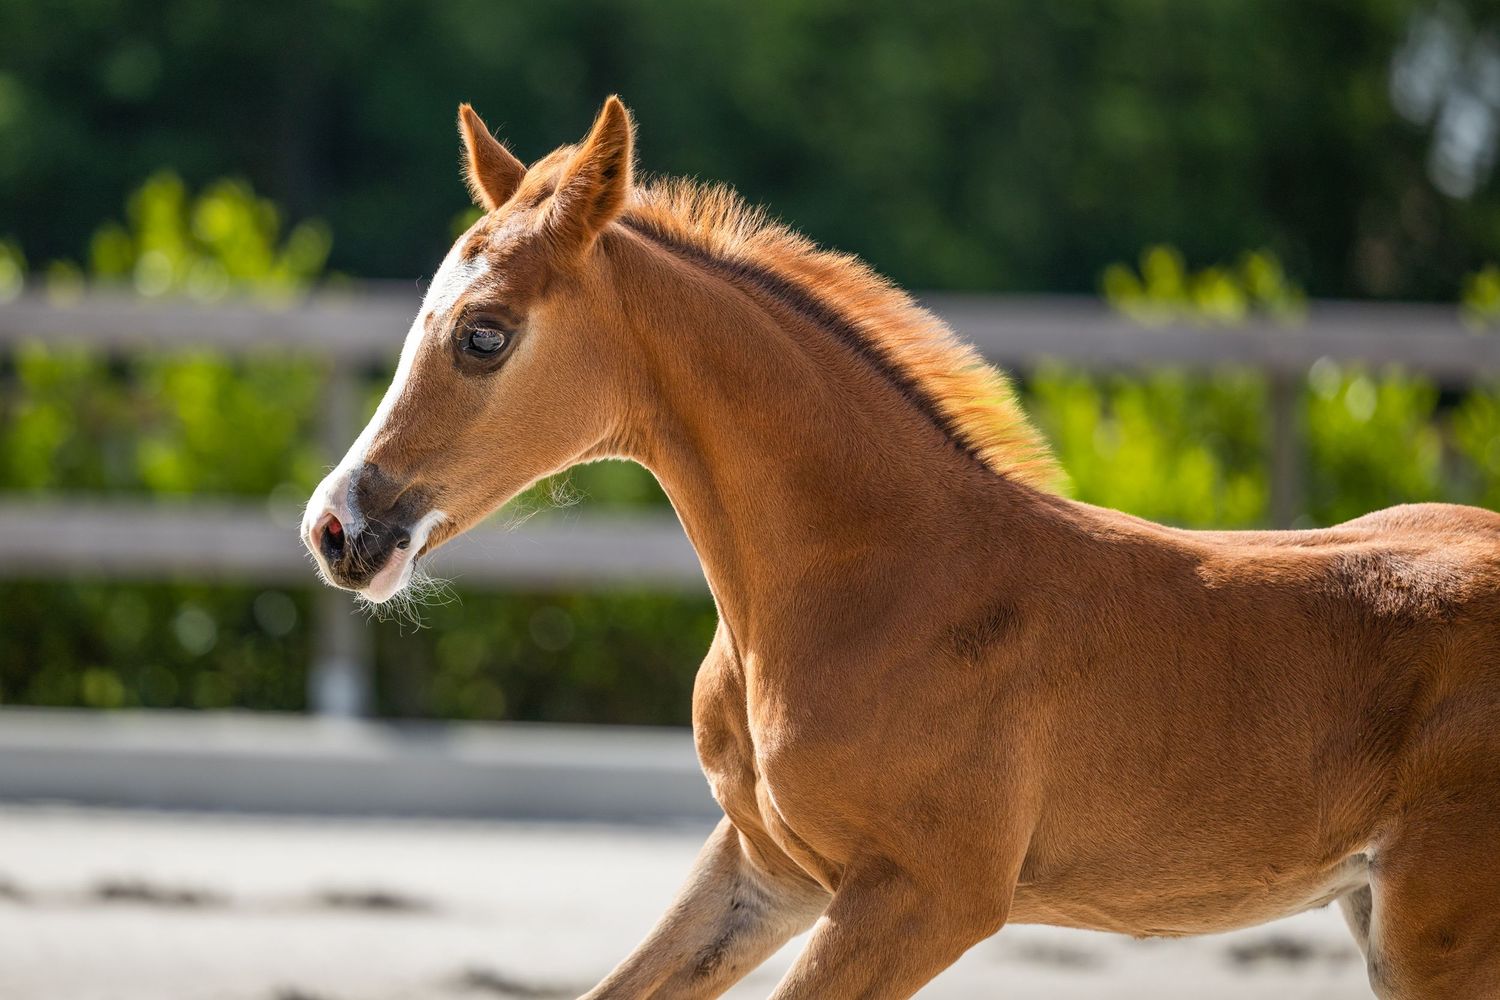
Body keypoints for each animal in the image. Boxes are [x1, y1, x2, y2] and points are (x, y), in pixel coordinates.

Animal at [302, 97, 1500, 998]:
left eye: (483, 334)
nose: (337, 529)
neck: (880, 583)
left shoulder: (927, 899)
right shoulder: (767, 866)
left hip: (1437, 930)